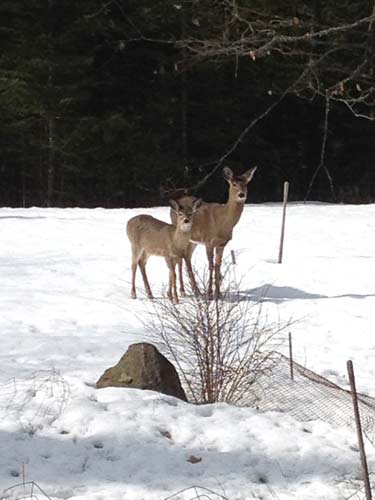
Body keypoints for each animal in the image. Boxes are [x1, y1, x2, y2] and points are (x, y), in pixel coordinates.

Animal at [171, 167, 258, 300]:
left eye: (246, 184)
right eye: (234, 184)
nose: (241, 194)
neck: (222, 222)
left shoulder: (222, 244)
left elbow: (218, 265)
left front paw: (218, 294)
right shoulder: (208, 241)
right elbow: (211, 265)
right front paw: (209, 294)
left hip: (192, 240)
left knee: (187, 257)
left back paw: (194, 290)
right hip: (180, 233)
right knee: (181, 258)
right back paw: (186, 291)